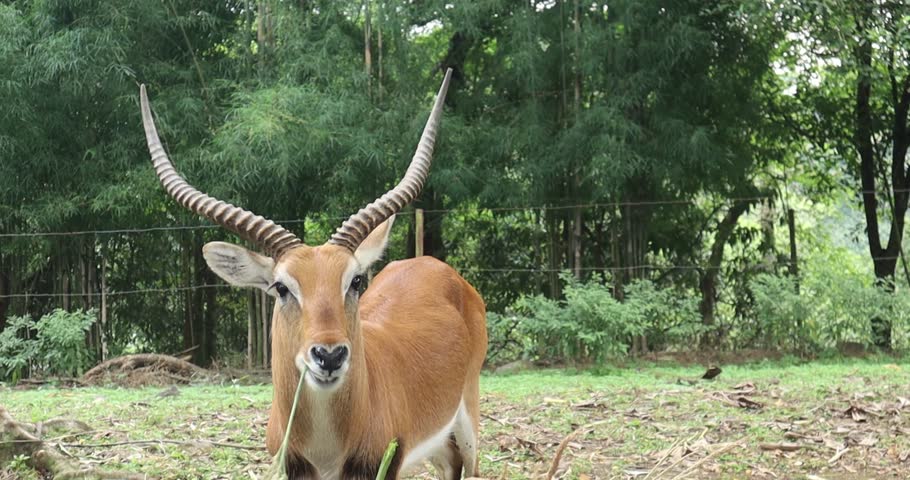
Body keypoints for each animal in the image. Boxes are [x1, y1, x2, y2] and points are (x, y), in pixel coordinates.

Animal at [139, 69, 487, 480]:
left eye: (355, 281)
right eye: (281, 287)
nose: (330, 356)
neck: (326, 448)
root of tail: (437, 267)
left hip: (467, 425)